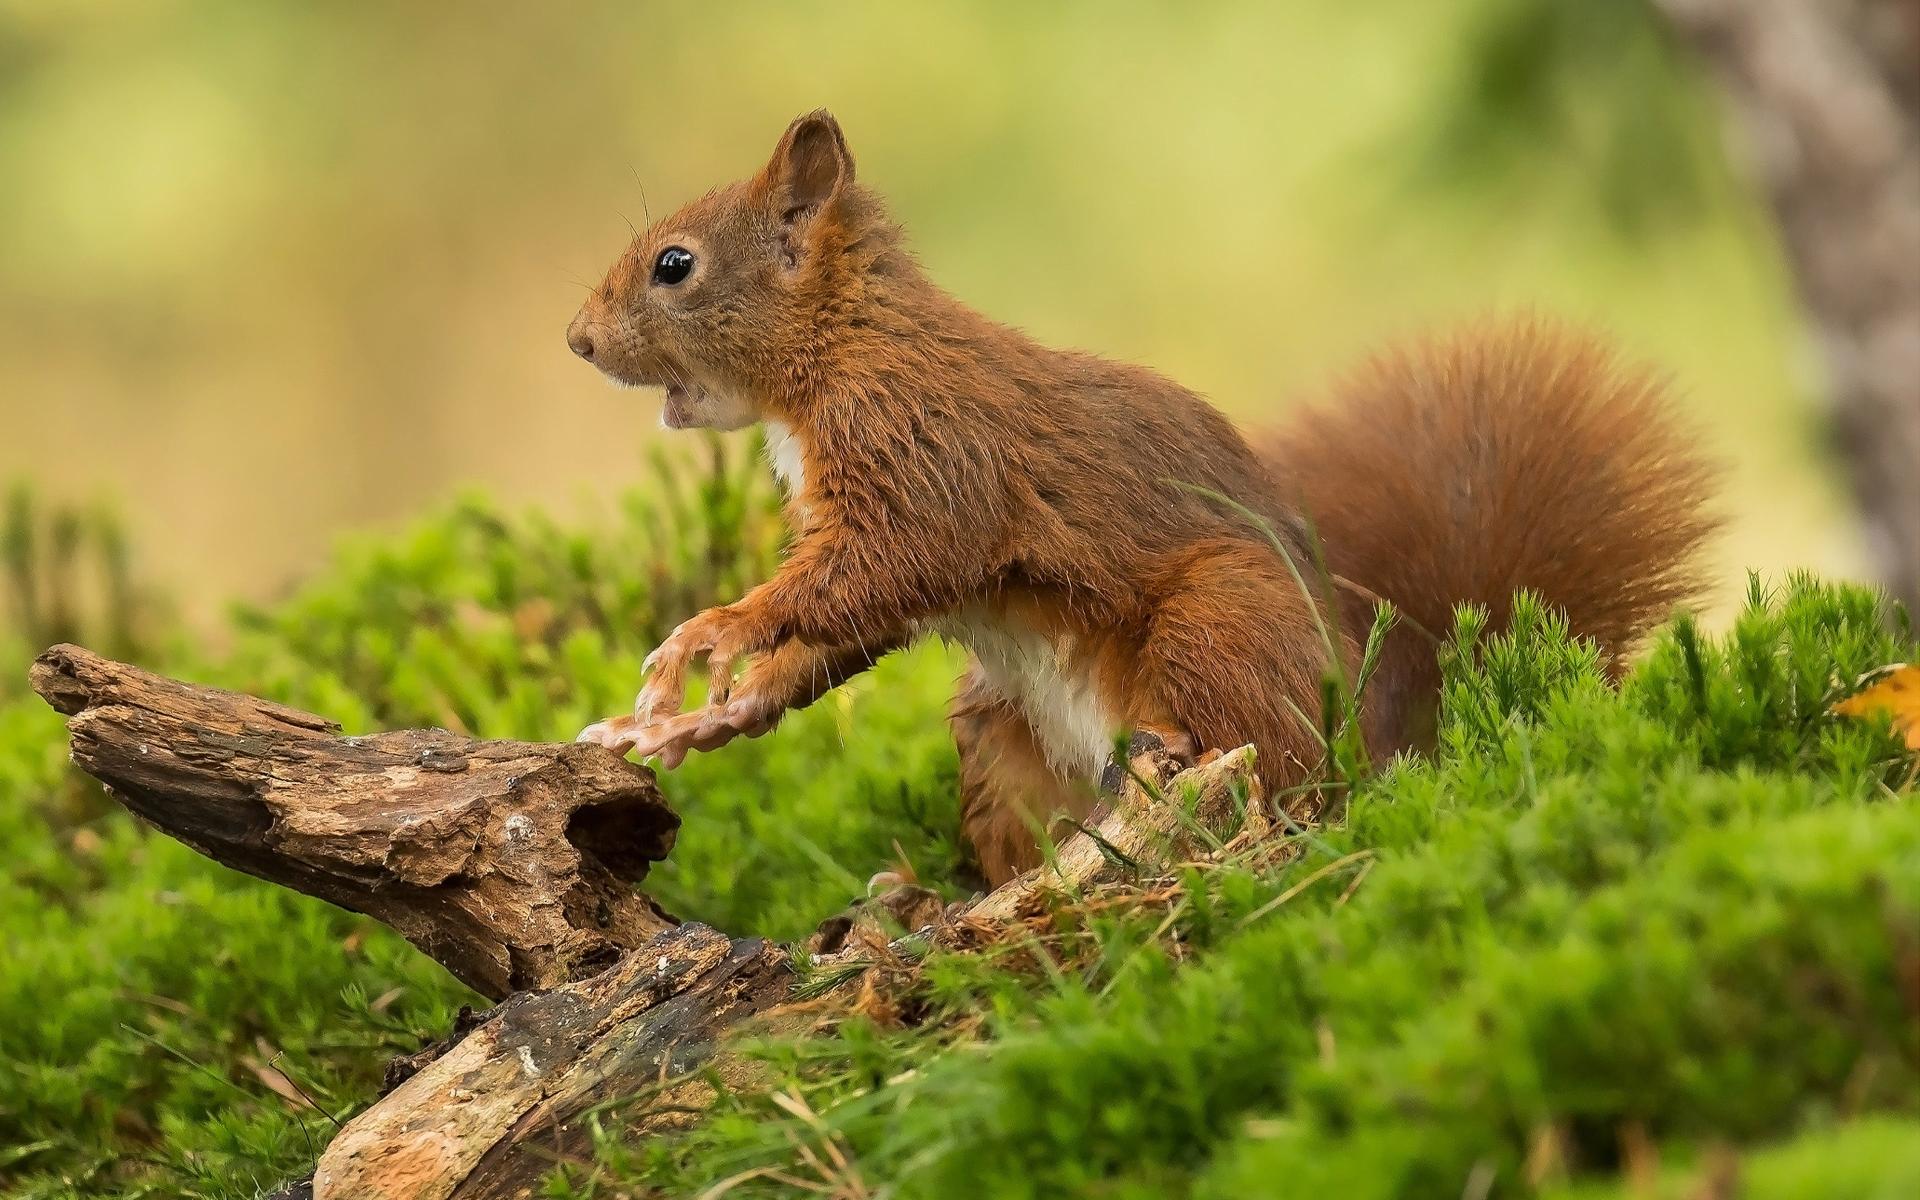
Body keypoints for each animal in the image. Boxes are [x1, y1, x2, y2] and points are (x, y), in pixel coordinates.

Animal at [560, 109, 1720, 879]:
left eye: (675, 265)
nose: (576, 340)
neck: (843, 349)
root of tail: (1376, 751)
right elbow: (849, 627)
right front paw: (693, 726)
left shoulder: (925, 449)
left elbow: (887, 564)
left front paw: (709, 634)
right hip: (999, 737)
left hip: (1219, 621)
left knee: (1276, 774)